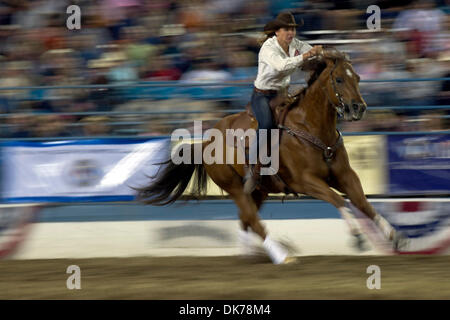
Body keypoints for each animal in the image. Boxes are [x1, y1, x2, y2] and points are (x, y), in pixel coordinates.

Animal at [138, 48, 408, 264]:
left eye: (358, 78)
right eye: (339, 79)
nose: (359, 108)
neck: (311, 128)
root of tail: (206, 140)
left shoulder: (345, 176)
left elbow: (362, 202)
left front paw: (395, 235)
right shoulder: (305, 182)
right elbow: (339, 200)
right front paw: (358, 237)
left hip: (259, 190)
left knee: (246, 219)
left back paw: (249, 254)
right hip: (234, 187)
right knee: (253, 220)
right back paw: (282, 256)